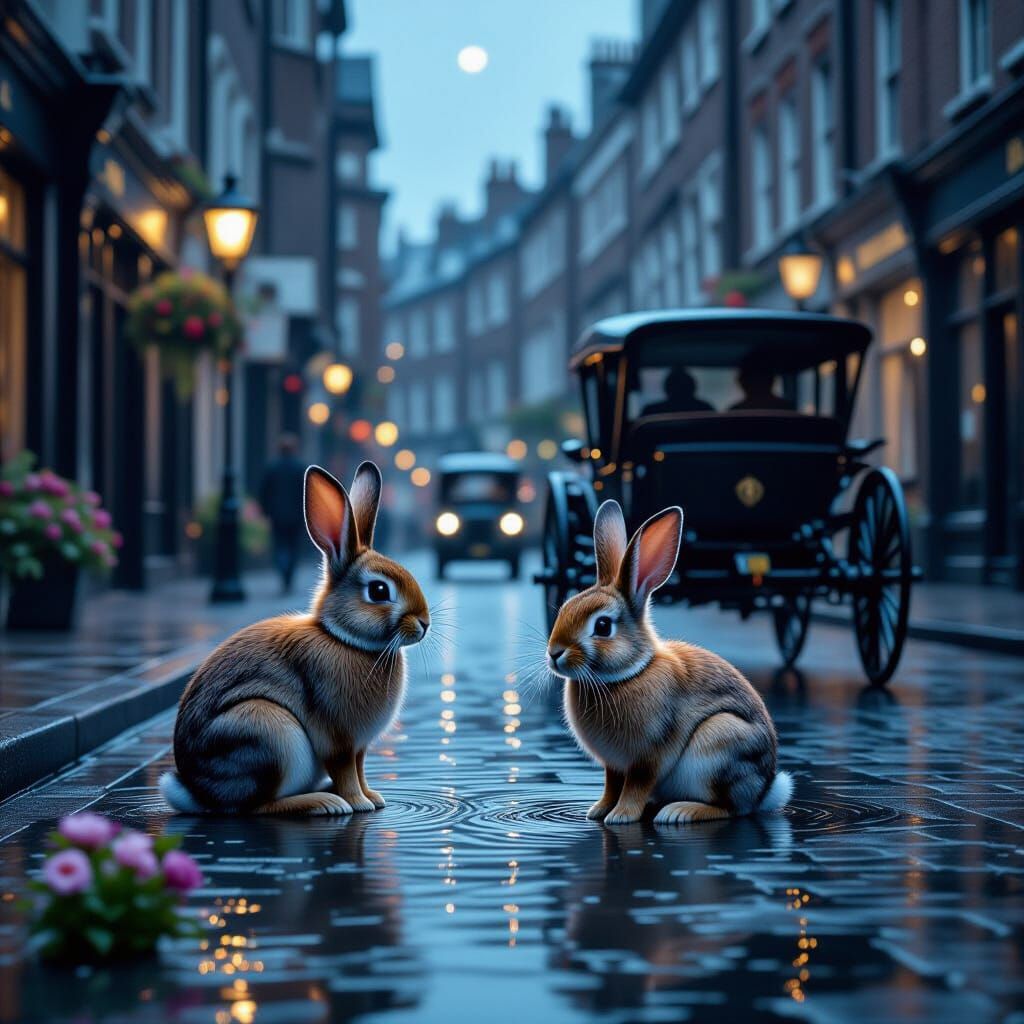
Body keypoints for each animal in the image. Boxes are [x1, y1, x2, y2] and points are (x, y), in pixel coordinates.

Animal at [159, 462, 429, 816]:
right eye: (379, 590)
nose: (424, 624)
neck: (344, 639)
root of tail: (198, 793)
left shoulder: (359, 747)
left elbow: (359, 769)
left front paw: (373, 798)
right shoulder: (339, 741)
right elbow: (346, 772)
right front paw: (359, 803)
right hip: (267, 731)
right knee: (258, 806)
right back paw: (326, 802)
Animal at [546, 499, 792, 826]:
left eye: (602, 626)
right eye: (564, 608)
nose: (554, 653)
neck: (628, 674)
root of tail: (766, 791)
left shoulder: (648, 759)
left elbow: (635, 787)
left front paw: (620, 817)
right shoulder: (614, 765)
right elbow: (611, 785)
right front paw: (598, 811)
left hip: (719, 743)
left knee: (730, 808)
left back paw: (679, 812)